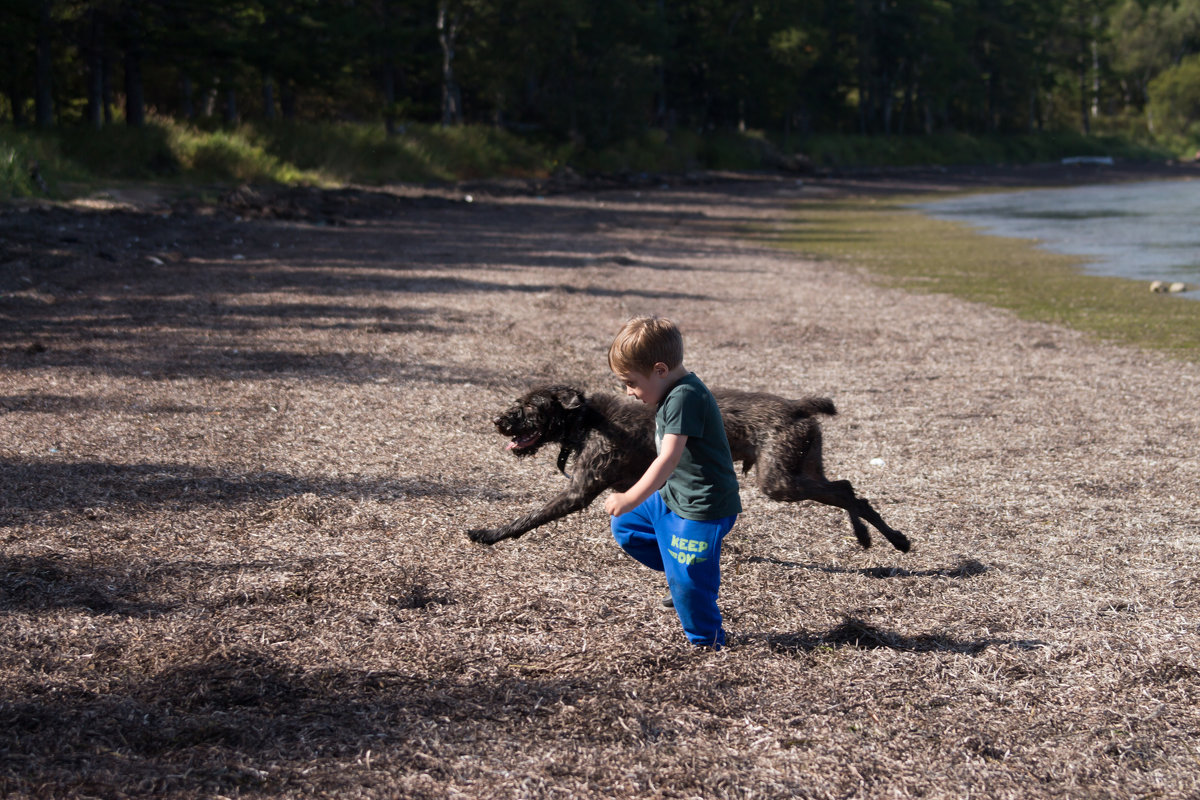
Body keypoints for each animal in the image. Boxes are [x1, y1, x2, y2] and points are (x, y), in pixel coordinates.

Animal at [468, 386, 907, 551]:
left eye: (529, 407)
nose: (498, 420)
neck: (588, 419)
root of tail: (798, 406)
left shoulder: (578, 491)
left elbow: (528, 517)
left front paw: (489, 533)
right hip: (802, 466)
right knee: (847, 487)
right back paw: (870, 537)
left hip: (780, 479)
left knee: (847, 493)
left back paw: (895, 540)